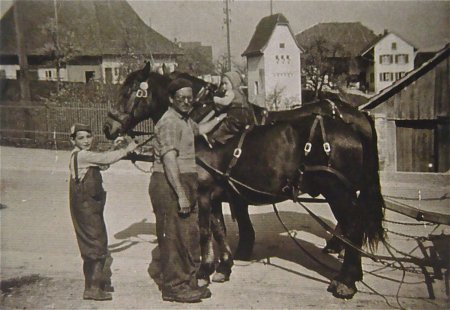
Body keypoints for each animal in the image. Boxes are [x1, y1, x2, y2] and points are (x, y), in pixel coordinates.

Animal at [103, 62, 384, 298]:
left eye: (128, 91)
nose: (107, 128)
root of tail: (353, 123)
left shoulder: (204, 193)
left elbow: (206, 231)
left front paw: (206, 270)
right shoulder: (217, 193)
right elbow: (219, 229)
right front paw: (224, 266)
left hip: (339, 192)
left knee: (352, 227)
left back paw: (346, 280)